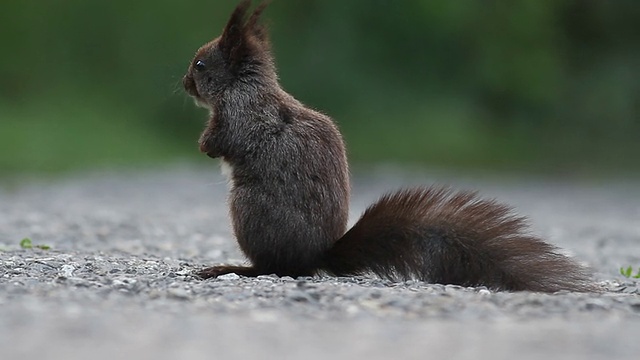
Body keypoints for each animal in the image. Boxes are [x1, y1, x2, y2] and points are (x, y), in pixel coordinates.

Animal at [181, 0, 596, 292]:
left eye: (200, 64)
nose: (185, 84)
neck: (244, 84)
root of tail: (315, 256)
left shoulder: (244, 113)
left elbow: (224, 141)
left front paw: (203, 144)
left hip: (248, 211)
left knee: (275, 269)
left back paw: (232, 269)